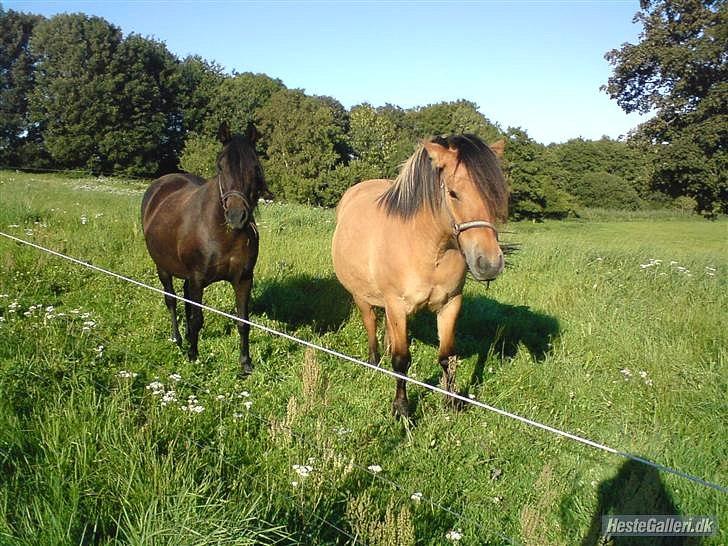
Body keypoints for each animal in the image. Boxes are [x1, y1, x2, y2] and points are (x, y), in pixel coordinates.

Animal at [141, 121, 272, 372]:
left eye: (254, 166)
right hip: (163, 267)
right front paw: (193, 355)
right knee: (172, 300)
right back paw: (177, 339)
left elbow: (243, 322)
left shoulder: (243, 279)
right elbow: (197, 319)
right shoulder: (198, 279)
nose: (236, 216)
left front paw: (246, 364)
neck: (222, 234)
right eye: (221, 167)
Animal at [332, 134, 510, 414]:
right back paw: (374, 362)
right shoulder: (396, 304)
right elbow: (401, 360)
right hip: (361, 296)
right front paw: (402, 409)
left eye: (495, 193)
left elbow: (447, 356)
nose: (489, 264)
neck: (429, 250)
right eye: (453, 193)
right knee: (371, 324)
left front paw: (451, 402)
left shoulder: (450, 304)